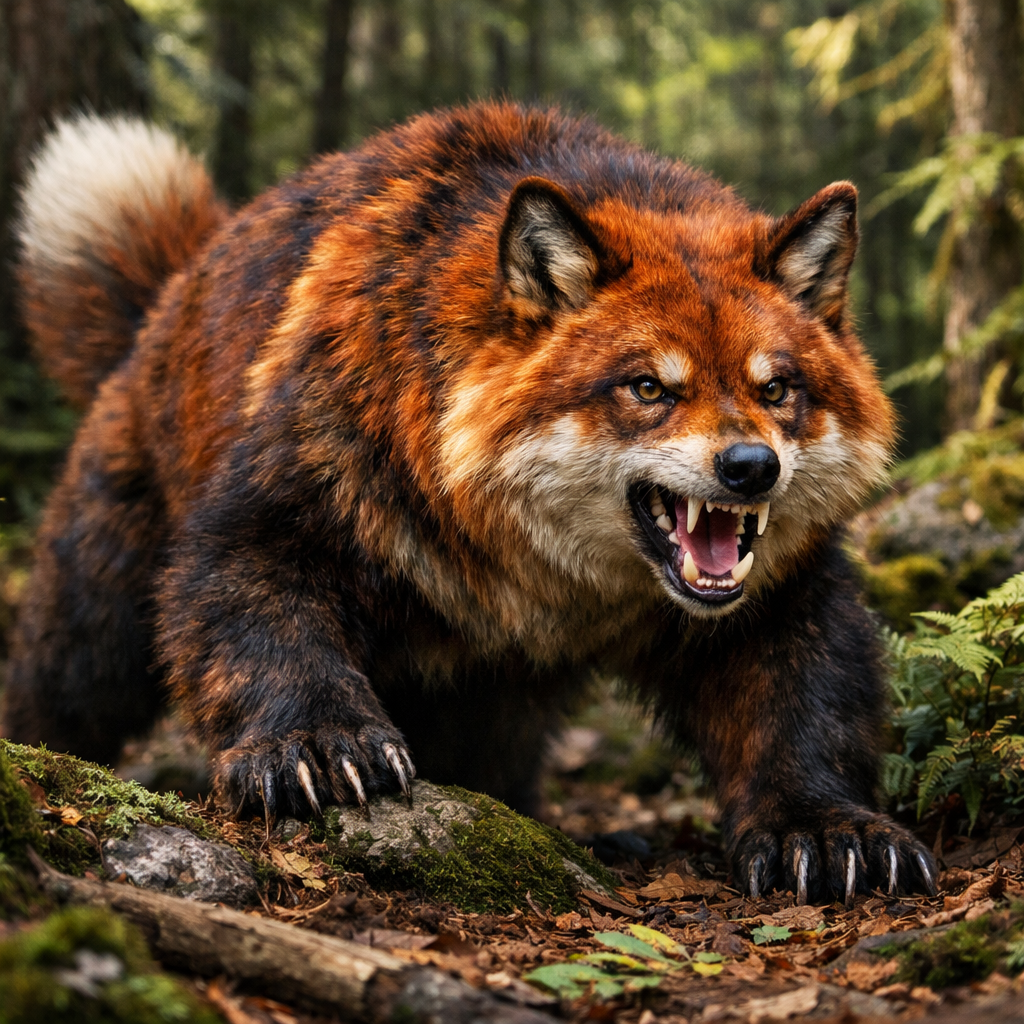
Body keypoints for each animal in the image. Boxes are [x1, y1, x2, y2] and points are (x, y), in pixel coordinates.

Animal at [3, 102, 936, 903]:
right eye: (648, 386)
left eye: (778, 389)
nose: (750, 468)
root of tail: (163, 307)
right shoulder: (273, 523)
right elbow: (262, 628)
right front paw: (318, 743)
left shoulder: (777, 600)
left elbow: (804, 707)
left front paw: (824, 827)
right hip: (95, 624)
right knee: (57, 685)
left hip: (497, 701)